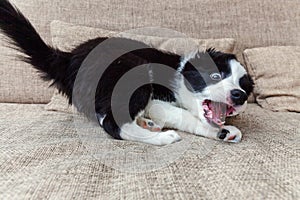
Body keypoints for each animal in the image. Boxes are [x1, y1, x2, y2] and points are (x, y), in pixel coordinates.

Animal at [0, 0, 253, 146]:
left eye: (245, 87)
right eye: (215, 76)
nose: (239, 95)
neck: (179, 73)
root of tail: (67, 58)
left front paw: (223, 132)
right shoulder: (157, 99)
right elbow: (182, 115)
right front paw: (219, 130)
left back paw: (147, 124)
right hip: (131, 69)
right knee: (112, 122)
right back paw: (161, 137)